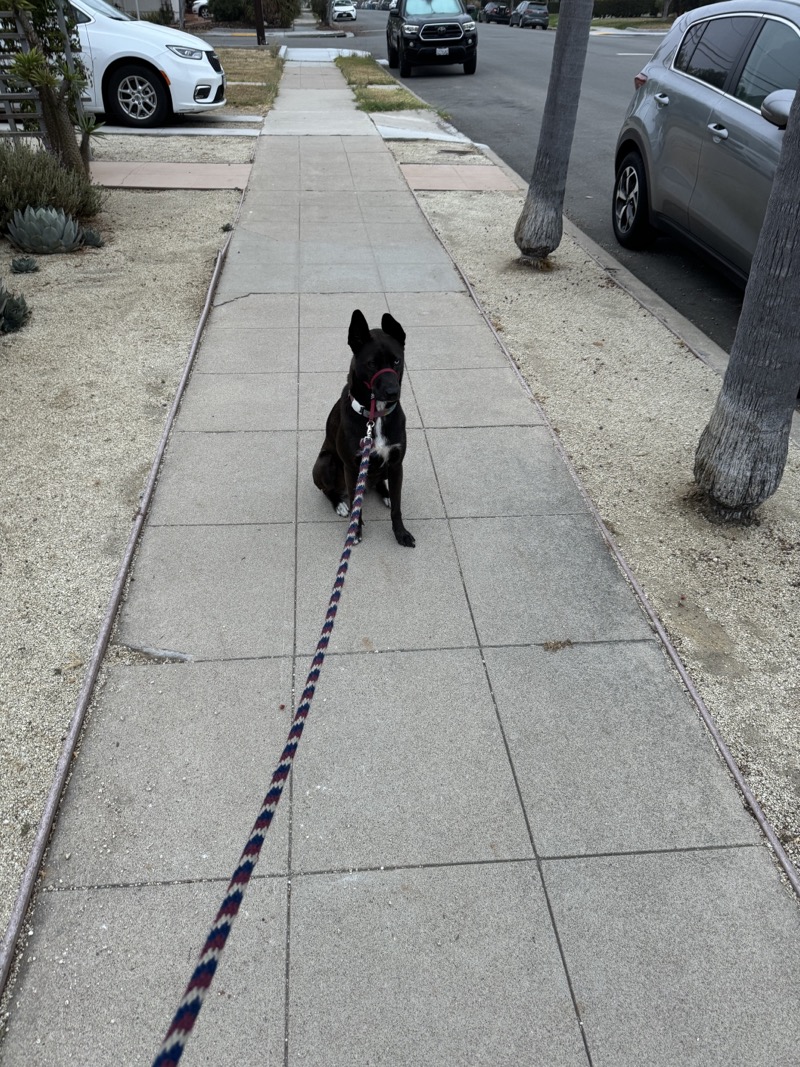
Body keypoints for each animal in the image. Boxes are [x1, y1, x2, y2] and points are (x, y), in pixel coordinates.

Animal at [313, 305, 416, 546]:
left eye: (397, 361)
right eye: (371, 364)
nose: (393, 392)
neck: (374, 416)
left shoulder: (397, 464)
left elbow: (397, 508)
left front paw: (401, 533)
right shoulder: (352, 467)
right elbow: (355, 504)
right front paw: (355, 530)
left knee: (380, 484)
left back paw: (386, 494)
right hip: (326, 462)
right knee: (329, 490)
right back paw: (339, 504)